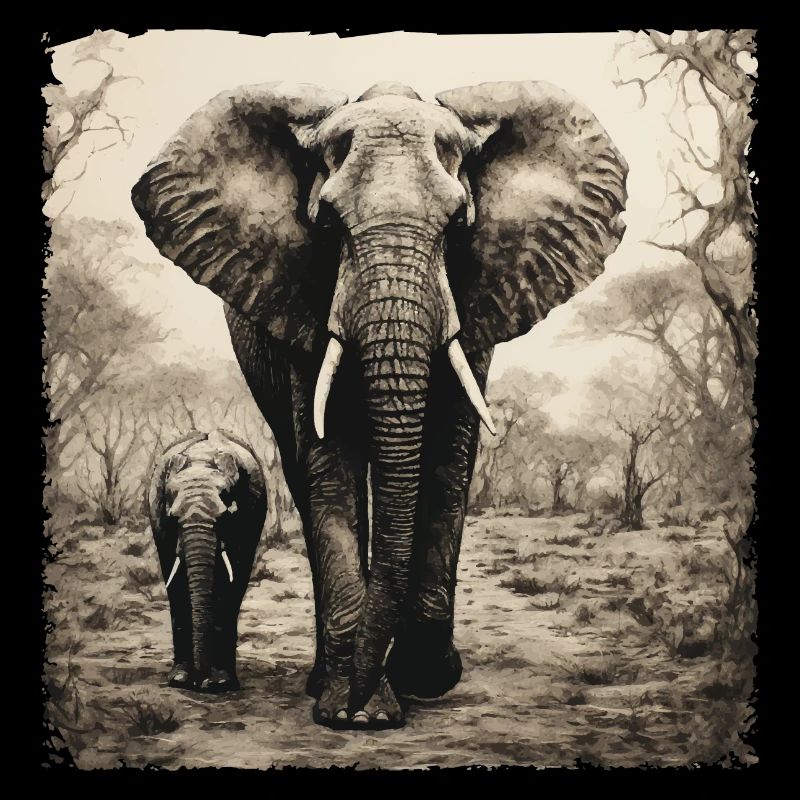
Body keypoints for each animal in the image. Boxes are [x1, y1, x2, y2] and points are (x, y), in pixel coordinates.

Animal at [146, 429, 267, 693]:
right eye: (173, 517)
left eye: (224, 516)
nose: (198, 682)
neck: (201, 458)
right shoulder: (160, 520)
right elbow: (176, 585)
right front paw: (180, 680)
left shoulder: (248, 512)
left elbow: (230, 585)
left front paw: (219, 683)